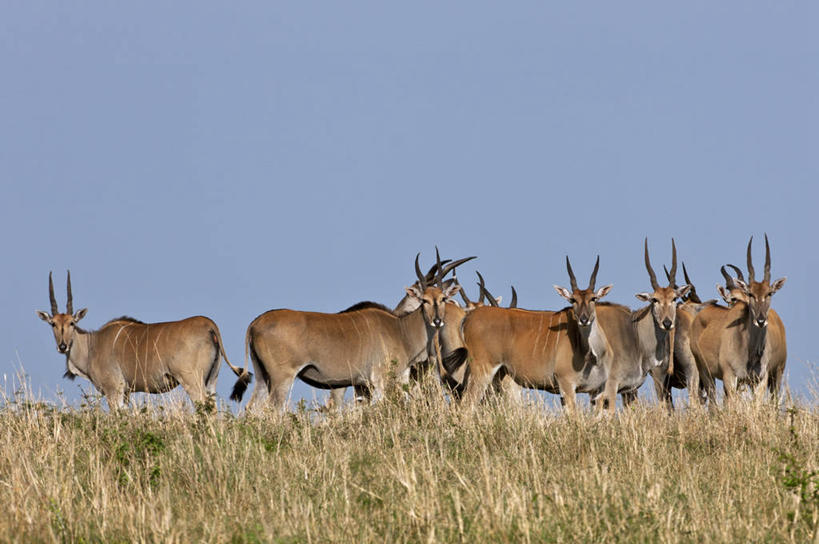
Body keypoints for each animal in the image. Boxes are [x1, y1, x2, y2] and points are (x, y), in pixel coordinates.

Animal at [37, 272, 250, 408]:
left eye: (72, 323)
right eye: (53, 324)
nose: (62, 346)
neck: (92, 344)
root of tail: (209, 325)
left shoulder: (113, 390)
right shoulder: (126, 392)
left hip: (193, 382)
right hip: (211, 381)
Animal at [237, 255, 462, 412]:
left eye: (442, 298)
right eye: (424, 300)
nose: (437, 320)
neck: (400, 329)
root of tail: (256, 322)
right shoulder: (379, 381)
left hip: (262, 377)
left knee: (252, 408)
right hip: (282, 379)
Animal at [692, 236, 788, 406]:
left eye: (769, 293)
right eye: (750, 293)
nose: (761, 320)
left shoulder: (760, 380)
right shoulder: (730, 378)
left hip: (777, 374)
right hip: (705, 372)